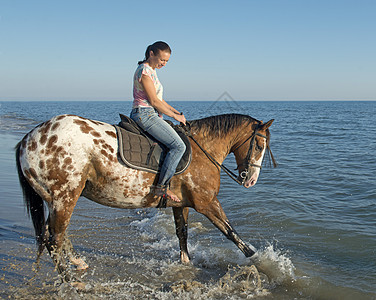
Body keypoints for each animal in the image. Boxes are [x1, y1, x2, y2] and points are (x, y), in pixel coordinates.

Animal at [15, 113, 274, 286]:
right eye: (259, 145)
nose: (250, 180)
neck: (202, 150)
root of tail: (29, 139)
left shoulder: (182, 204)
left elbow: (182, 233)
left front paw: (185, 263)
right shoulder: (207, 203)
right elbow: (232, 234)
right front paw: (264, 263)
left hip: (55, 200)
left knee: (52, 235)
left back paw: (78, 263)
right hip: (64, 197)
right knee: (54, 240)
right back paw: (71, 281)